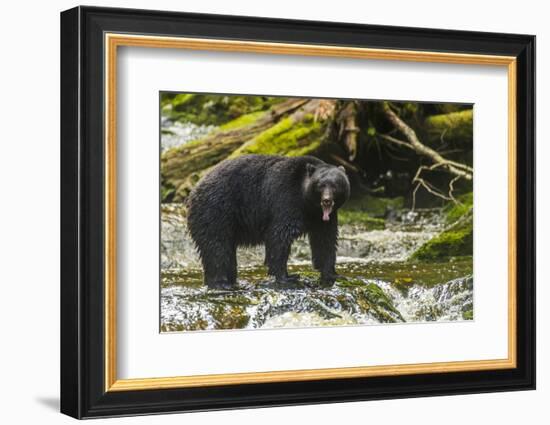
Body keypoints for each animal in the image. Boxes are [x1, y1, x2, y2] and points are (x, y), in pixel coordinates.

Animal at [188, 153, 352, 288]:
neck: (307, 203)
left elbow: (325, 241)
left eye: (336, 185)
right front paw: (288, 277)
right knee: (216, 246)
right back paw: (221, 283)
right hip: (216, 211)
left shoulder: (323, 219)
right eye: (320, 185)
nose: (327, 200)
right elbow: (279, 236)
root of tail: (193, 191)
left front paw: (333, 275)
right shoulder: (285, 199)